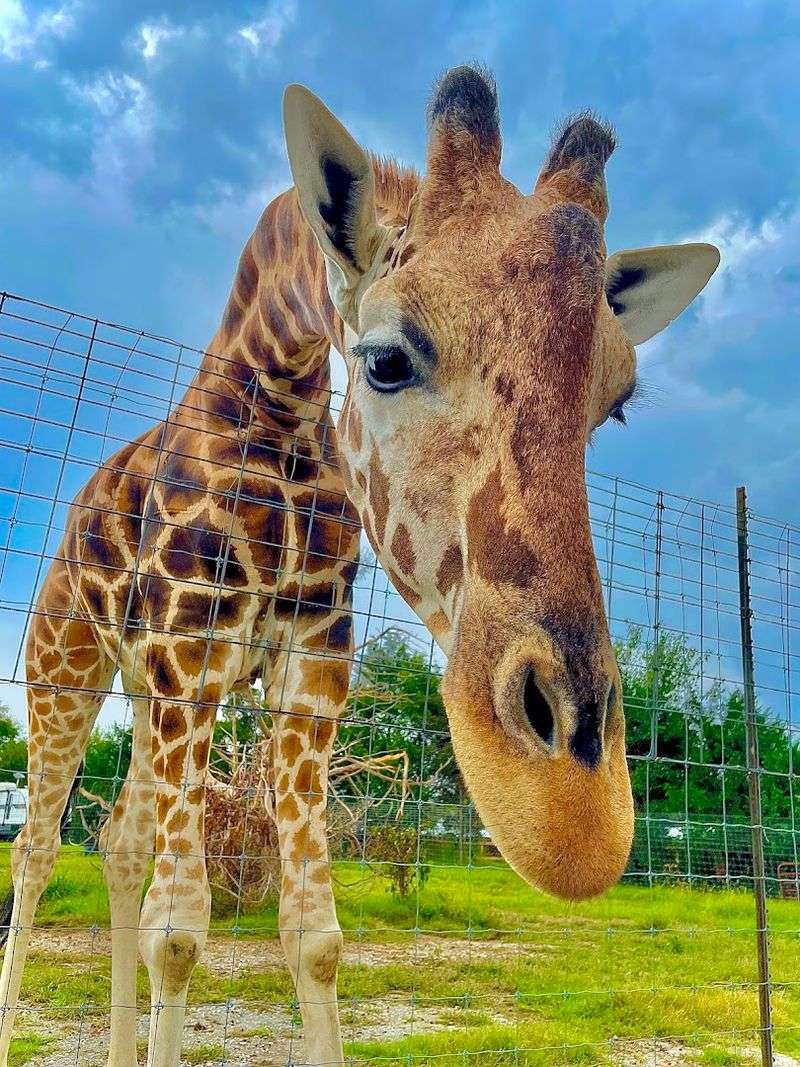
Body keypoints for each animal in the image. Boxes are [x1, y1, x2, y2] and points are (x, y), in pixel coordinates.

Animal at [0, 65, 719, 1067]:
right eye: (384, 359)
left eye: (612, 403)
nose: (574, 817)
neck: (278, 414)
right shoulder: (190, 653)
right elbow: (180, 931)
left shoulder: (306, 668)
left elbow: (315, 936)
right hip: (66, 667)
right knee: (35, 852)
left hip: (146, 695)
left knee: (116, 841)